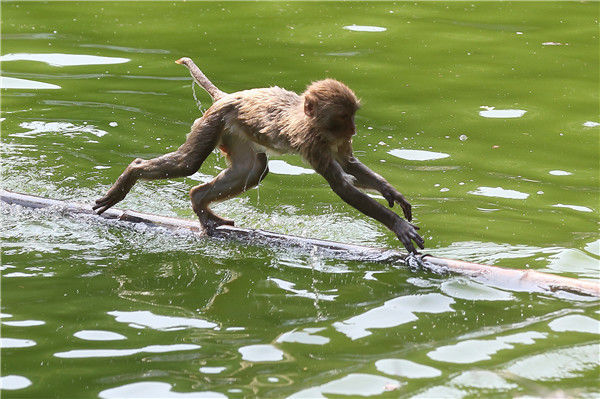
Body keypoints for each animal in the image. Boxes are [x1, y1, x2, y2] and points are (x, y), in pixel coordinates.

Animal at [92, 57, 426, 253]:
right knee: (189, 164)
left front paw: (390, 192)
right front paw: (397, 225)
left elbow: (349, 163)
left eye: (352, 116)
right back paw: (133, 172)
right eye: (343, 118)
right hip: (214, 123)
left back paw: (200, 201)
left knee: (253, 170)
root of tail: (226, 97)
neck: (311, 122)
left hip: (233, 134)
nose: (354, 129)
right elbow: (342, 185)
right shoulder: (313, 143)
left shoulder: (336, 143)